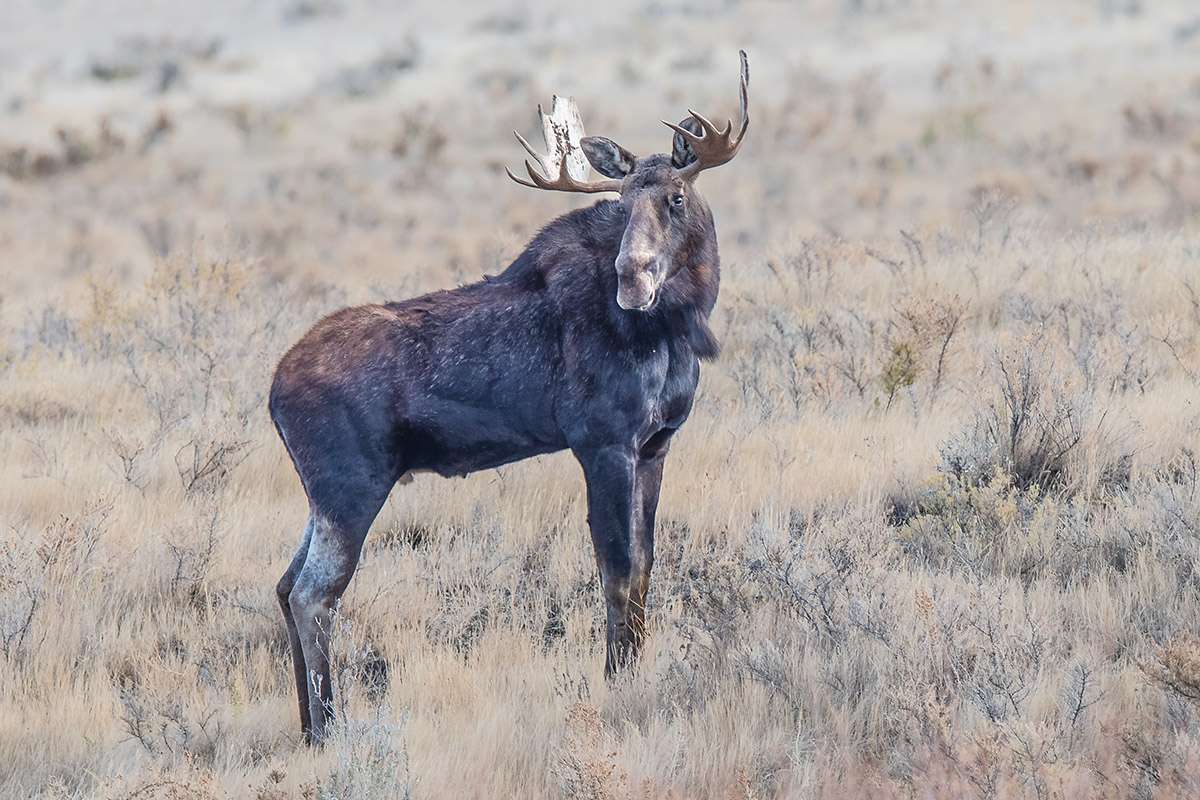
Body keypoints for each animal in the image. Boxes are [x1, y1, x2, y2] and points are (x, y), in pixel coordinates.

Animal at [270, 51, 750, 743]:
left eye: (675, 197)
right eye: (623, 202)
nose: (631, 278)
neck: (676, 329)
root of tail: (273, 392)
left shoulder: (656, 446)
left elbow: (644, 569)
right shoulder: (602, 444)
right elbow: (616, 572)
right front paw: (615, 680)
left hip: (322, 496)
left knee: (285, 586)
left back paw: (310, 727)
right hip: (349, 486)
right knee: (314, 594)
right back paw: (330, 728)